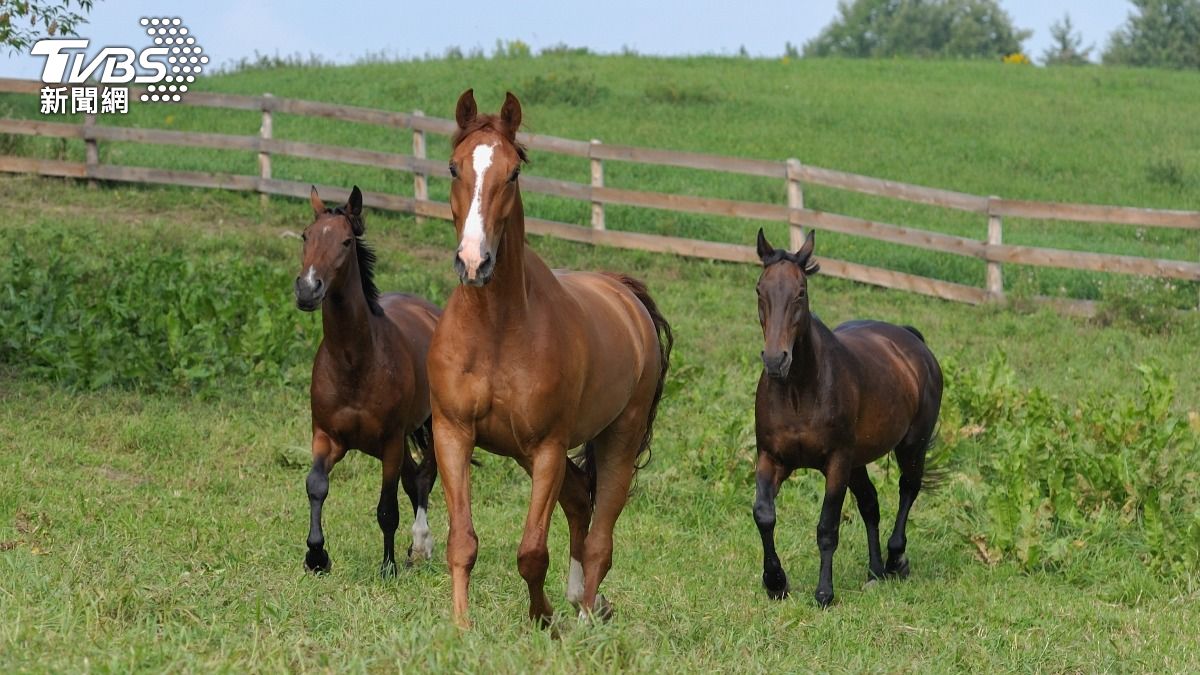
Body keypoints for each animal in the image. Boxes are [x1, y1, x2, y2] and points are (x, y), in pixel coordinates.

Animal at [294, 185, 442, 577]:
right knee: (414, 478)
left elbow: (387, 508)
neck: (355, 362)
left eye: (346, 241)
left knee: (425, 476)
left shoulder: (390, 442)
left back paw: (420, 545)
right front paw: (316, 556)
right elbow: (316, 485)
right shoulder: (326, 436)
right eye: (306, 236)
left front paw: (388, 566)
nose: (308, 289)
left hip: (432, 424)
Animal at [427, 90, 673, 628]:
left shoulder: (547, 448)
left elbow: (532, 552)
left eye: (514, 173)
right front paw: (460, 627)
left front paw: (544, 620)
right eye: (454, 167)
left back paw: (584, 618)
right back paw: (583, 600)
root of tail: (624, 295)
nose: (474, 262)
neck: (495, 331)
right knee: (580, 503)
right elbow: (462, 542)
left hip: (616, 440)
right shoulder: (453, 433)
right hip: (529, 451)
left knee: (600, 537)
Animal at [751, 228, 942, 607]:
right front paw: (775, 582)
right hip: (859, 461)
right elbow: (764, 514)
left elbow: (827, 527)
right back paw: (875, 571)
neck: (799, 391)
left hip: (911, 446)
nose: (776, 360)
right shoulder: (772, 457)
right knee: (870, 503)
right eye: (760, 290)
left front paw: (824, 592)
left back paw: (896, 559)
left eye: (800, 292)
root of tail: (912, 341)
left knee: (907, 489)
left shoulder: (837, 462)